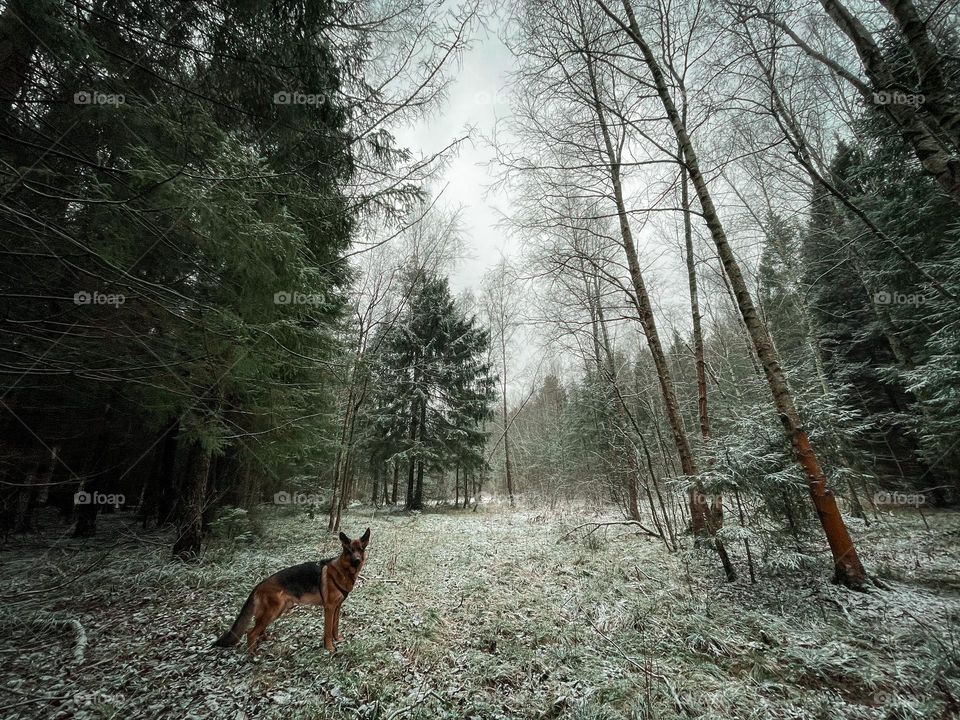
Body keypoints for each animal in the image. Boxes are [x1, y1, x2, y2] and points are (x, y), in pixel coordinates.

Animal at [212, 528, 370, 652]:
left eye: (360, 549)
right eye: (350, 550)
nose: (357, 560)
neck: (343, 571)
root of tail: (259, 584)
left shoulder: (337, 607)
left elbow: (335, 627)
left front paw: (337, 639)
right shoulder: (329, 608)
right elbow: (327, 631)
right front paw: (329, 647)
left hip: (276, 611)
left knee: (258, 630)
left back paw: (265, 639)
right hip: (273, 611)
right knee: (250, 633)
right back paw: (253, 656)